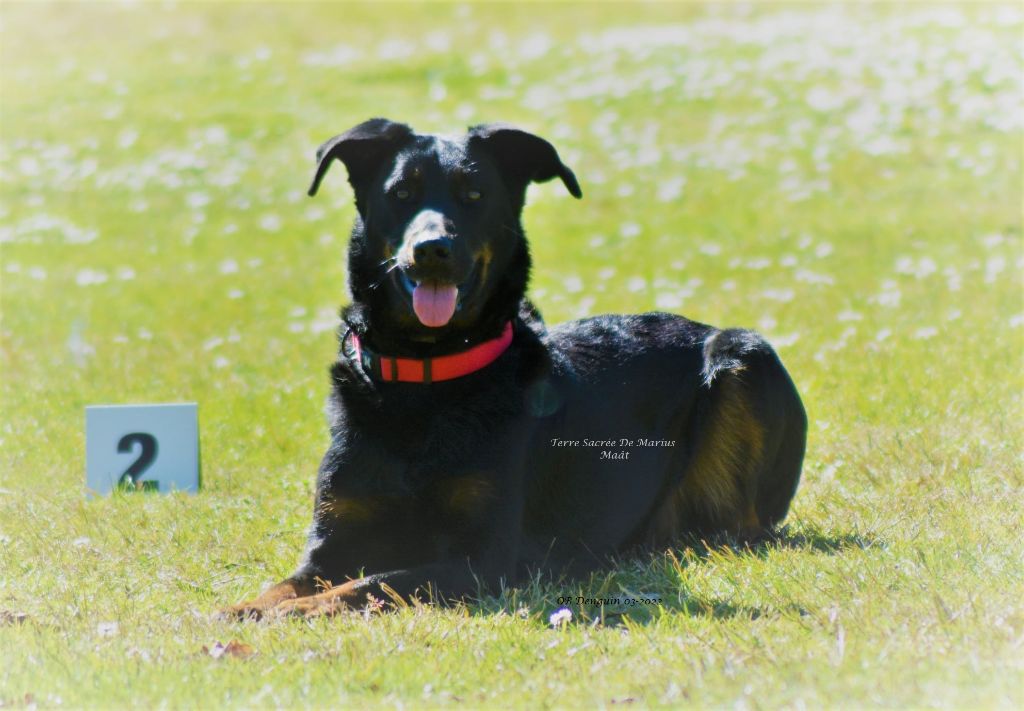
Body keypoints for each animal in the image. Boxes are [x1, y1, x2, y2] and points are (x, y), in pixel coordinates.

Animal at [226, 119, 806, 622]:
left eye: (474, 196)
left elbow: (373, 583)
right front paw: (247, 606)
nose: (431, 250)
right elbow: (292, 581)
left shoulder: (482, 559)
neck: (426, 380)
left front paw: (296, 612)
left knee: (741, 527)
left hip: (743, 357)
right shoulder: (332, 543)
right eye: (402, 193)